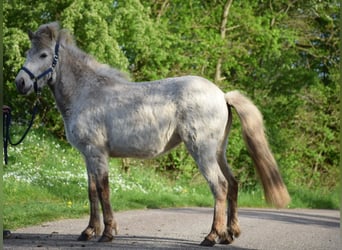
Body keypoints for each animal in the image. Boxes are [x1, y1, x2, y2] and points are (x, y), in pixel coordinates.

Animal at [14, 23, 290, 246]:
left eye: (43, 54)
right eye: (29, 53)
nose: (20, 83)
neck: (87, 92)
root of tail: (222, 94)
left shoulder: (97, 153)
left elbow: (103, 190)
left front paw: (108, 233)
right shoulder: (88, 156)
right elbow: (92, 191)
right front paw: (89, 231)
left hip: (201, 151)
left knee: (220, 186)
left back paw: (212, 236)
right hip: (218, 152)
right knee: (232, 184)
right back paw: (230, 234)